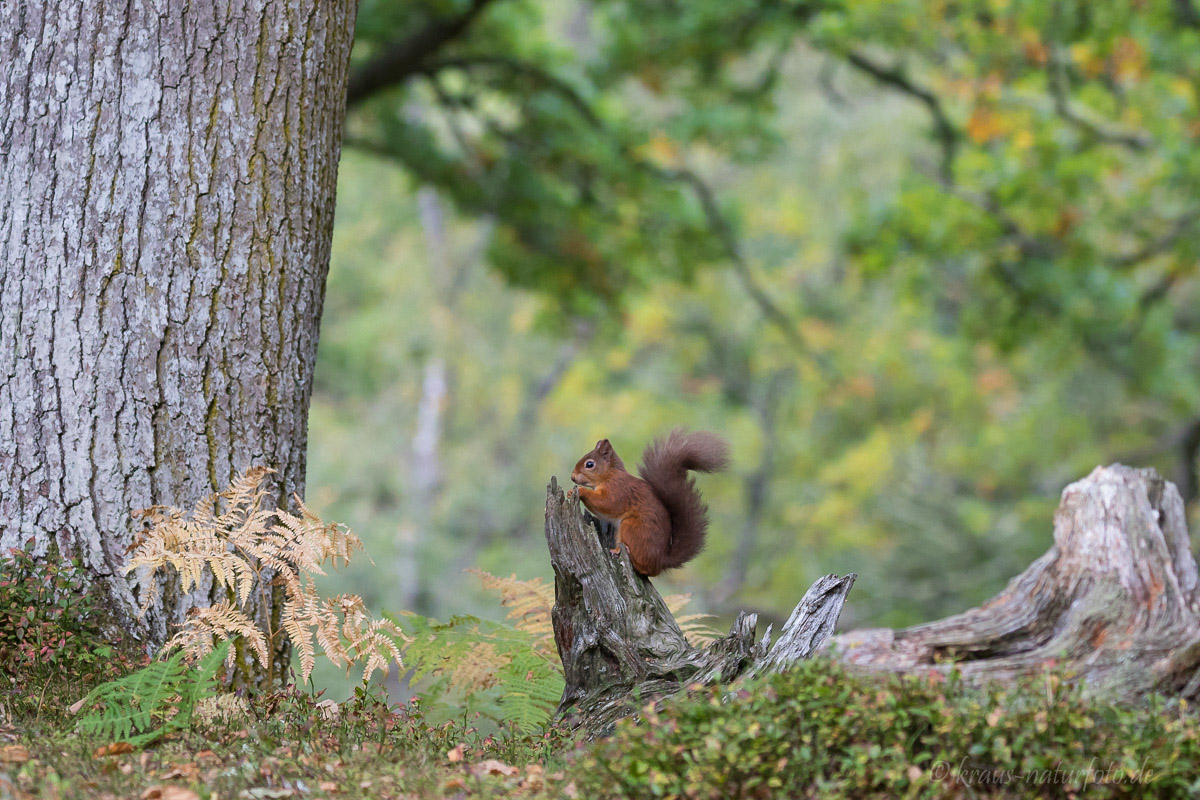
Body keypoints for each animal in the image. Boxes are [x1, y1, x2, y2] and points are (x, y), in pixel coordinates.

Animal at [571, 431, 729, 575]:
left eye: (589, 464)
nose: (572, 477)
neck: (610, 475)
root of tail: (660, 562)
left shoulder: (619, 489)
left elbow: (607, 504)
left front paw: (581, 491)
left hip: (632, 528)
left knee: (643, 568)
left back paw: (623, 552)